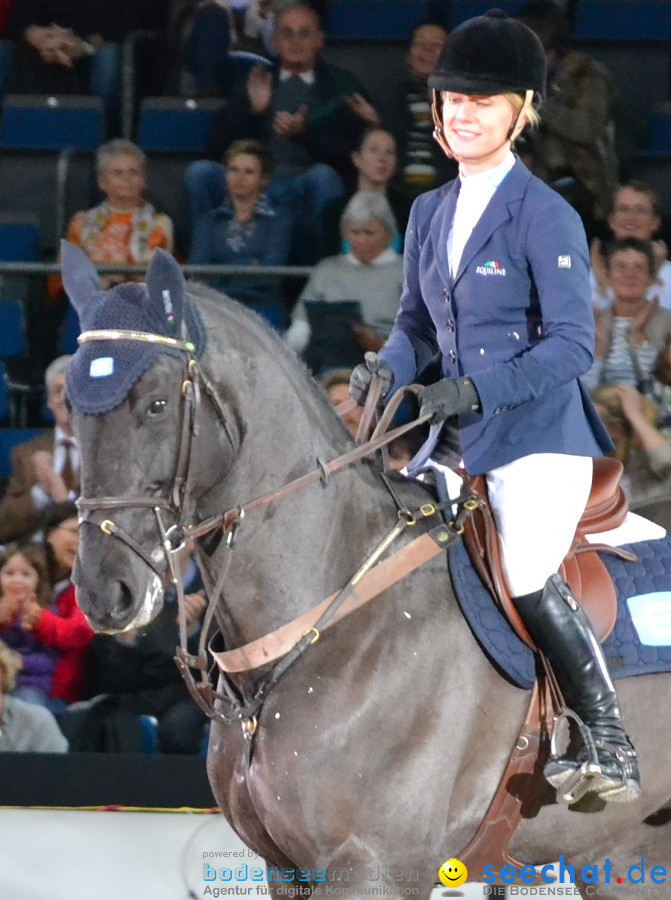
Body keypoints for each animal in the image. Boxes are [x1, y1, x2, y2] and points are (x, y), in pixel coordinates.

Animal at [63, 246, 671, 900]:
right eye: (72, 405)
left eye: (155, 404)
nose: (104, 591)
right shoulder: (286, 867)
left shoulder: (373, 865)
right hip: (624, 854)